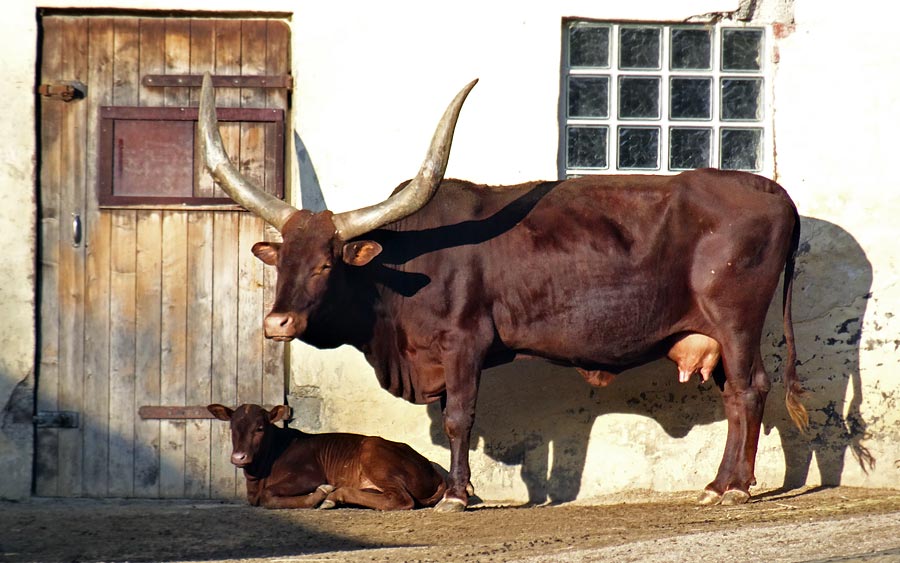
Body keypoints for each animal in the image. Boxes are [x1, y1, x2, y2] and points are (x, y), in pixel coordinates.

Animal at [207, 404, 446, 508]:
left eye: (259, 428)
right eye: (232, 427)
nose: (239, 457)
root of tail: (432, 468)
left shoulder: (309, 474)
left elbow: (267, 496)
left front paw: (317, 495)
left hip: (374, 454)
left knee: (401, 499)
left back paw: (333, 495)